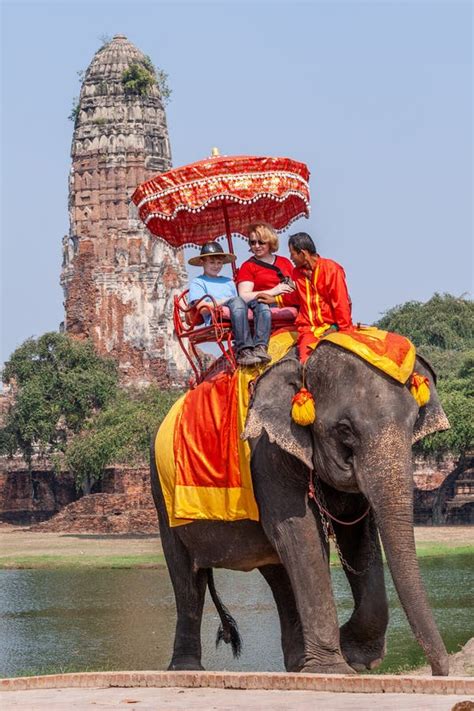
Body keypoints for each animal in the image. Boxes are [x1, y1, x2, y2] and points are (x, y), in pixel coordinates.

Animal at [150, 344, 450, 680]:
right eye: (344, 429)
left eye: (413, 423)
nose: (439, 671)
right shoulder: (269, 455)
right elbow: (301, 532)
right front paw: (336, 669)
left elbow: (356, 534)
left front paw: (353, 655)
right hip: (162, 496)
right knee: (187, 575)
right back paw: (186, 670)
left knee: (278, 570)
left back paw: (297, 665)